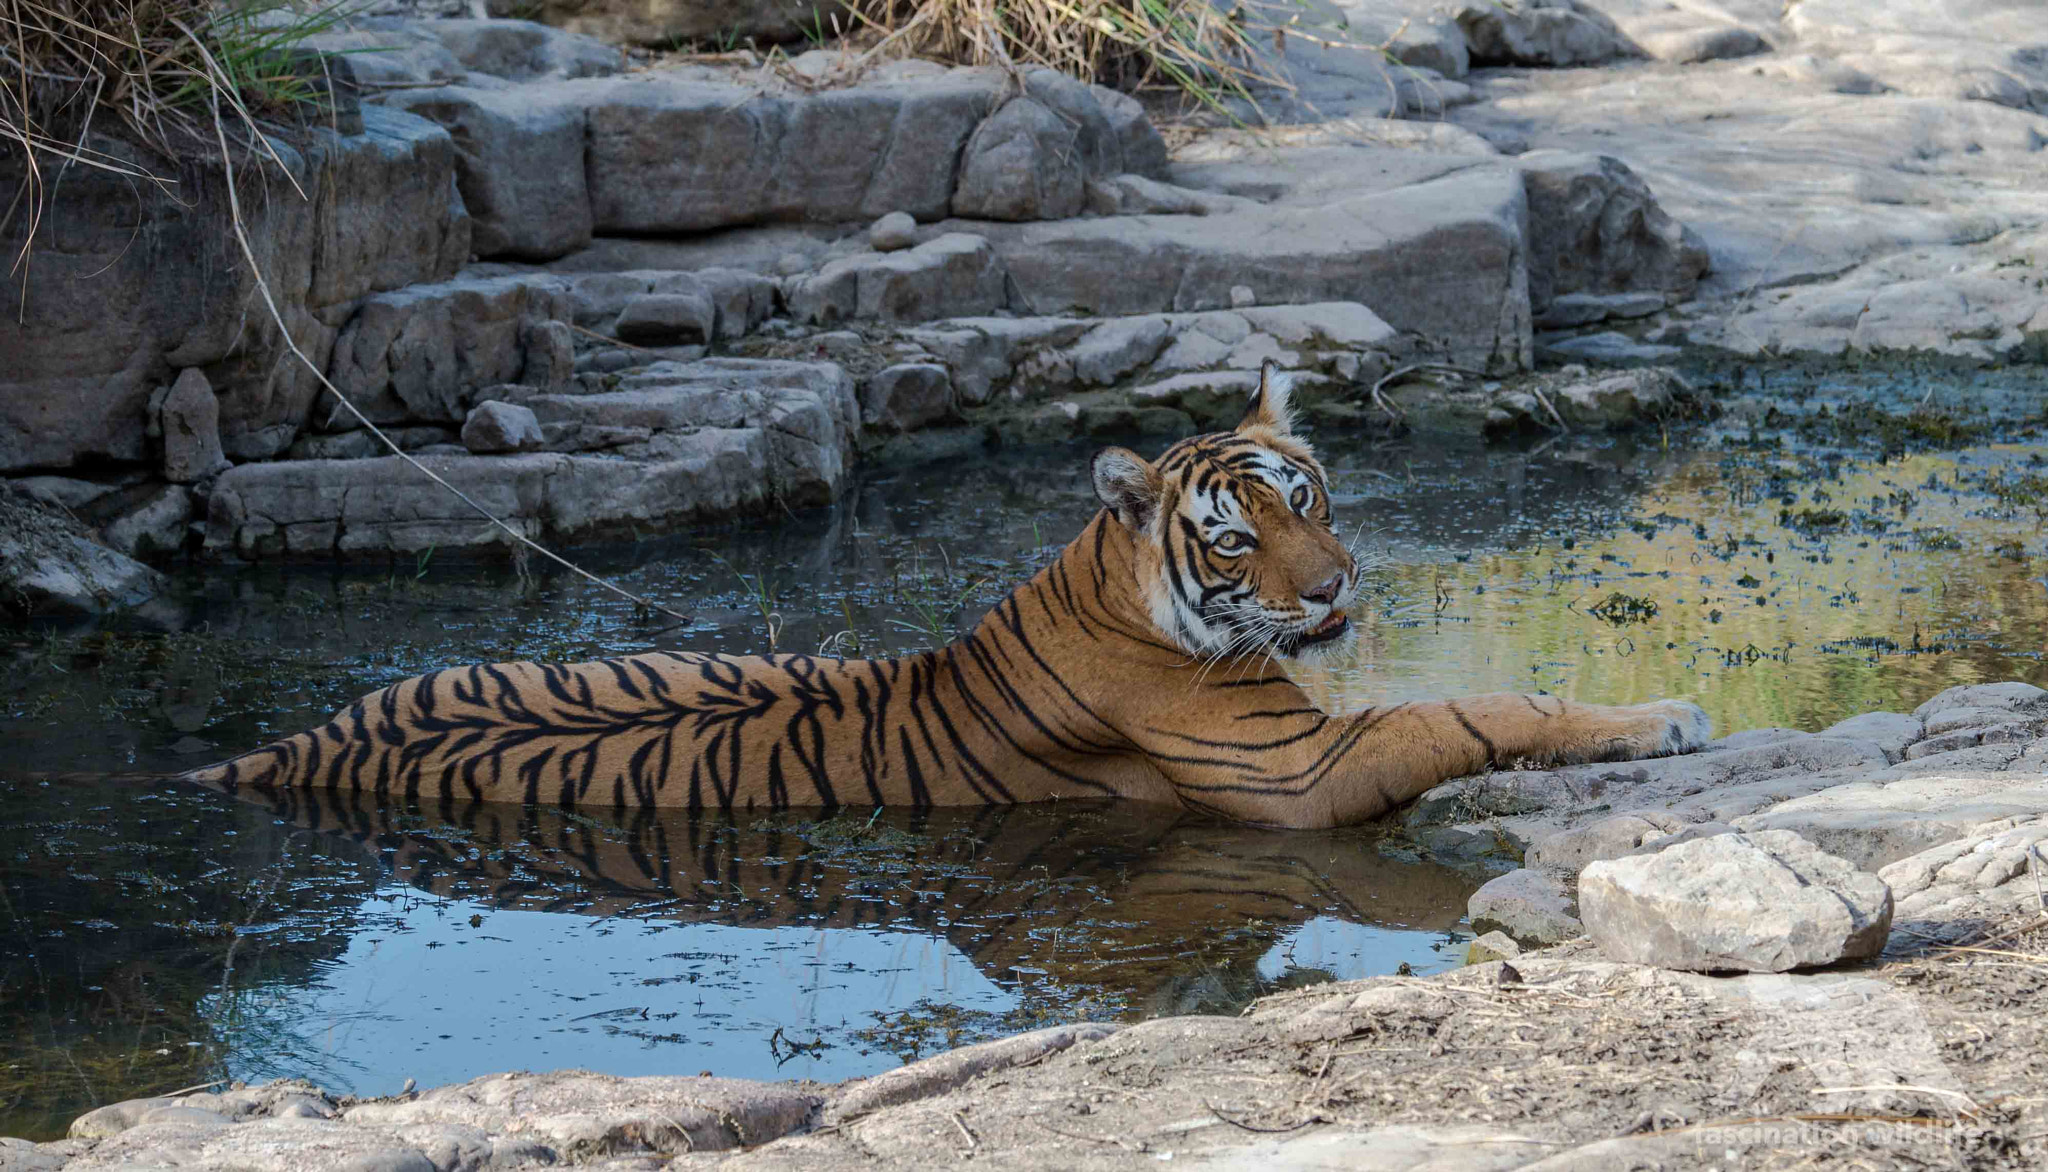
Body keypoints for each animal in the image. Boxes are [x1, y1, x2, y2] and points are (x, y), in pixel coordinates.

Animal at [187, 364, 1712, 828]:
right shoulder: (1302, 768)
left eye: (1310, 497)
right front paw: (1665, 718)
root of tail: (272, 746)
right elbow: (1474, 709)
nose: (1338, 587)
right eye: (1236, 538)